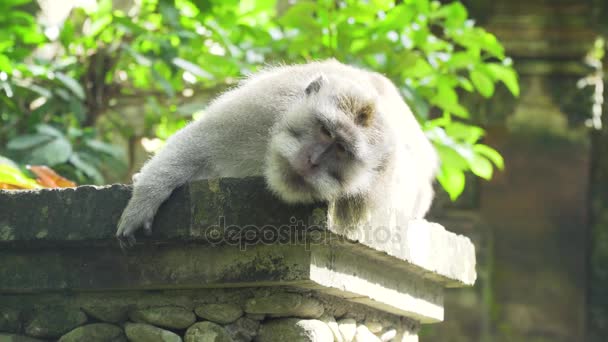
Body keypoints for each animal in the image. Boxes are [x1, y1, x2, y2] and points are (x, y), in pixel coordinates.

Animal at [115, 59, 436, 246]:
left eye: (341, 149)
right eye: (325, 130)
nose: (311, 160)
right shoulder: (266, 105)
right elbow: (201, 142)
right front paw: (147, 196)